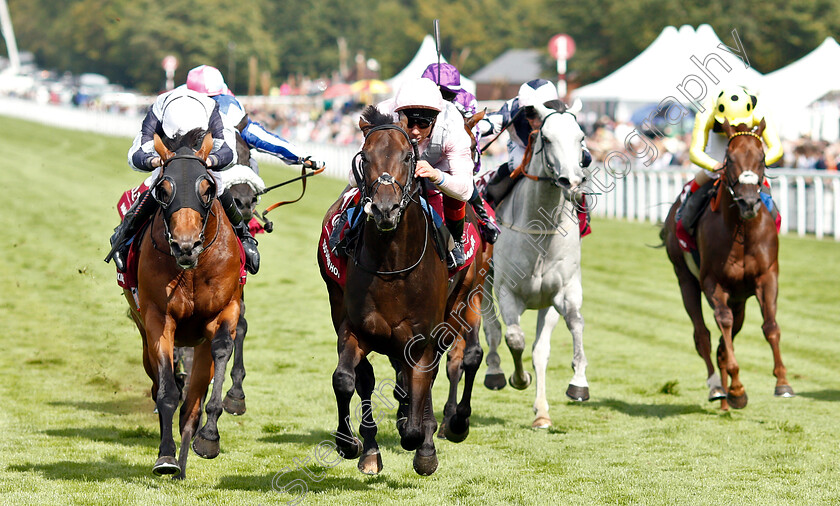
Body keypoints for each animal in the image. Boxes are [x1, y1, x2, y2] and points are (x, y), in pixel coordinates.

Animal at [125, 130, 243, 478]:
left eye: (207, 188)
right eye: (163, 189)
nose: (186, 246)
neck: (191, 270)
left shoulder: (226, 311)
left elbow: (221, 353)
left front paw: (208, 437)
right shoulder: (158, 319)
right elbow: (166, 391)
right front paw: (166, 456)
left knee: (193, 399)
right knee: (160, 382)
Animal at [664, 119, 796, 412]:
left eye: (761, 157)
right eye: (730, 159)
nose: (748, 202)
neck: (742, 231)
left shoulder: (767, 276)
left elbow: (771, 326)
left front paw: (782, 382)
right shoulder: (713, 282)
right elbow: (721, 323)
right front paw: (737, 388)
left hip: (740, 300)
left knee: (724, 342)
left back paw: (726, 401)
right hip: (684, 279)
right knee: (703, 335)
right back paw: (718, 389)